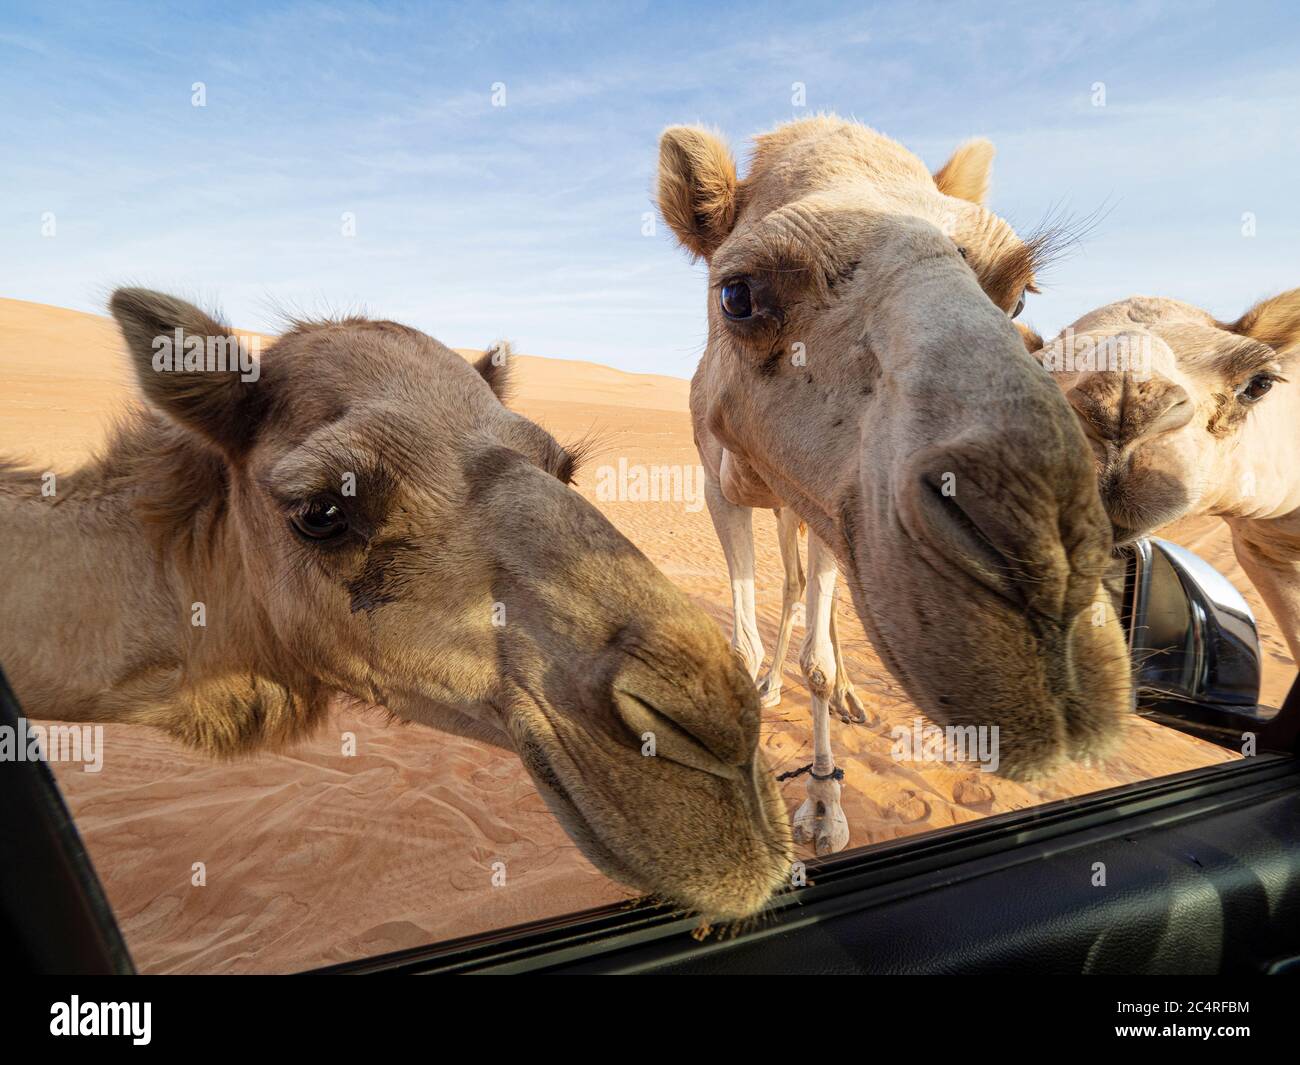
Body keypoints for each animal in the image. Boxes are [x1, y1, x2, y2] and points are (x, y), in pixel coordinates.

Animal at [655, 116, 1133, 853]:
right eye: (738, 296)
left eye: (1017, 292)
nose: (1050, 573)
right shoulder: (719, 488)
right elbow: (741, 644)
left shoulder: (824, 506)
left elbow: (819, 661)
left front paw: (824, 805)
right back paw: (771, 685)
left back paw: (847, 694)